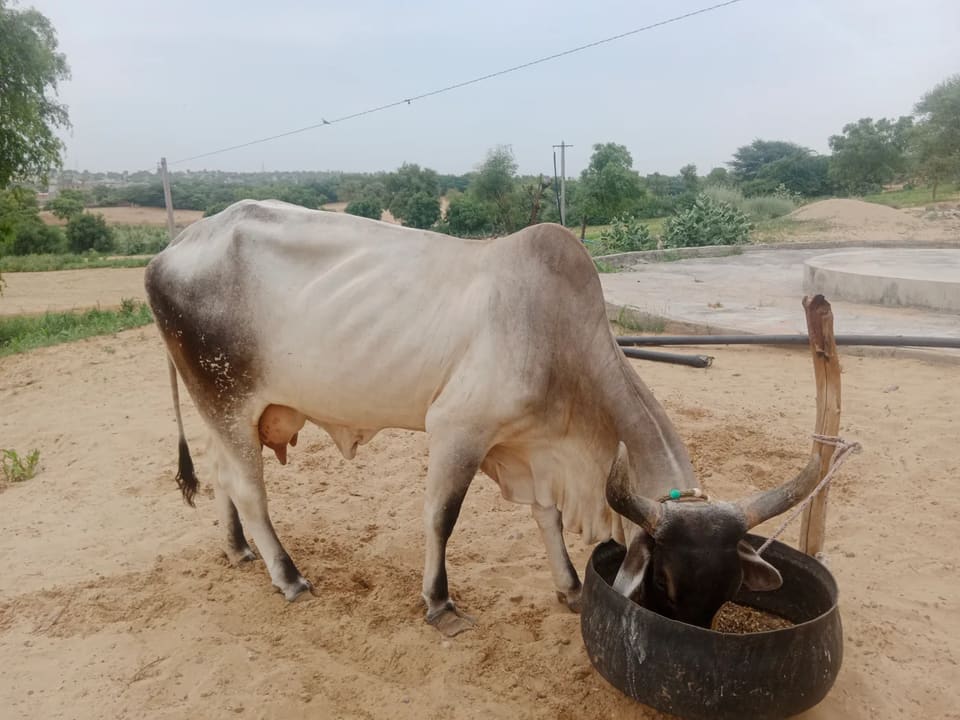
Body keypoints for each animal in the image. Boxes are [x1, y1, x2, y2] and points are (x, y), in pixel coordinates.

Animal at [144, 199, 821, 635]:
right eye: (668, 585)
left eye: (728, 592)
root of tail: (168, 252)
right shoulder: (456, 430)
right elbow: (441, 519)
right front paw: (439, 604)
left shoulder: (532, 448)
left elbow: (546, 517)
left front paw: (570, 588)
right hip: (229, 402)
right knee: (251, 491)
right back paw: (287, 576)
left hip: (227, 411)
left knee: (224, 477)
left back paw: (237, 550)